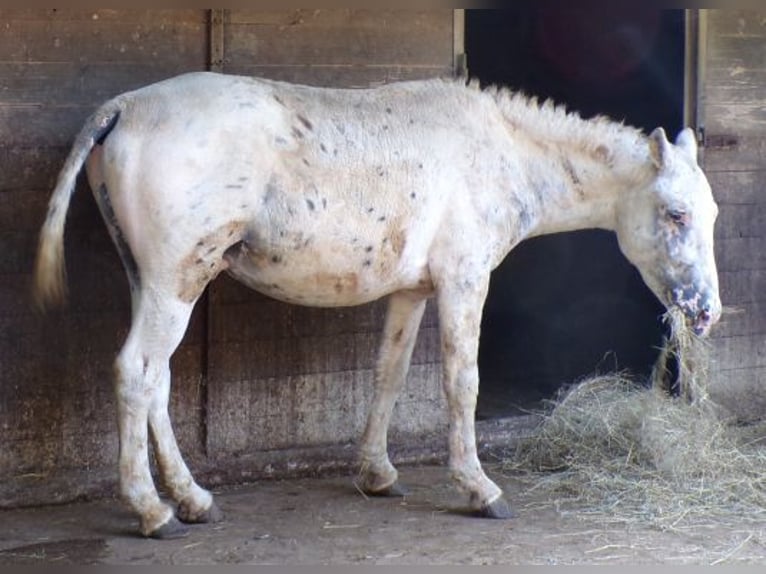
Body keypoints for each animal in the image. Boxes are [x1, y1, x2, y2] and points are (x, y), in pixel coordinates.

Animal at [34, 72, 721, 538]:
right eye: (675, 214)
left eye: (710, 213)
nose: (706, 311)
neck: (498, 152)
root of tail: (124, 108)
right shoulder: (464, 282)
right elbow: (460, 383)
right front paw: (479, 489)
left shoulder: (412, 292)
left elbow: (388, 376)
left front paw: (376, 473)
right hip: (175, 283)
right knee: (135, 374)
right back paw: (152, 511)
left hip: (155, 284)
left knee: (156, 381)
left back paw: (193, 500)